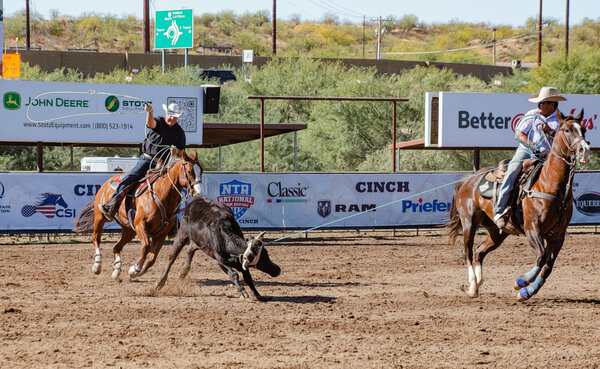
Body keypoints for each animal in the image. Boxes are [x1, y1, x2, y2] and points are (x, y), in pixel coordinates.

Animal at [73, 150, 202, 278]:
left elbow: (152, 258)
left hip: (129, 230)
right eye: (189, 171)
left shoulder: (162, 233)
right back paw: (97, 265)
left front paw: (136, 271)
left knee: (116, 247)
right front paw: (134, 269)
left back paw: (117, 270)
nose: (198, 193)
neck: (161, 193)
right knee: (96, 238)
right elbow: (146, 246)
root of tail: (108, 181)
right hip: (101, 217)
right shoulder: (141, 224)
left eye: (201, 171)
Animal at [446, 109, 592, 300]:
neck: (549, 183)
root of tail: (468, 180)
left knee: (479, 251)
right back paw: (472, 288)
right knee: (468, 252)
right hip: (469, 222)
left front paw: (527, 291)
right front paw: (521, 282)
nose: (585, 150)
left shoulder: (558, 234)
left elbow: (548, 266)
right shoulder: (532, 227)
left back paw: (477, 284)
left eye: (583, 129)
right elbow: (542, 256)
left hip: (497, 232)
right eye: (567, 130)